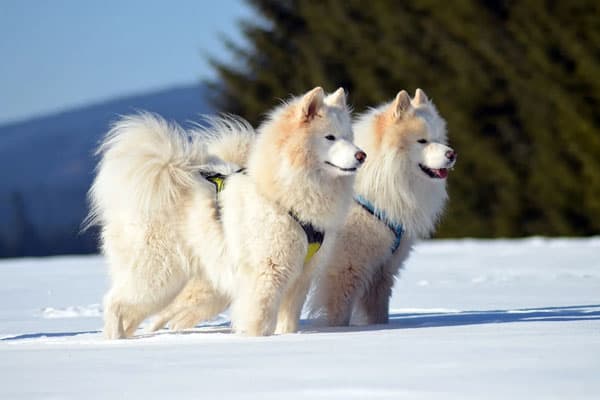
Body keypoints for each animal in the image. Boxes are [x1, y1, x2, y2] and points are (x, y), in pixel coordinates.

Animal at [86, 86, 364, 338]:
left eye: (350, 137)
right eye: (330, 137)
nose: (362, 155)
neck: (282, 195)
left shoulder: (300, 279)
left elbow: (288, 323)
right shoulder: (268, 273)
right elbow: (260, 320)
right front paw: (257, 340)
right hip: (157, 274)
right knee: (114, 302)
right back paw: (113, 340)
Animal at [310, 88, 454, 324]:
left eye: (438, 139)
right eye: (422, 141)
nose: (452, 154)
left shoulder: (383, 271)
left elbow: (379, 314)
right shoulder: (344, 270)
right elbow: (339, 314)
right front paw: (335, 330)